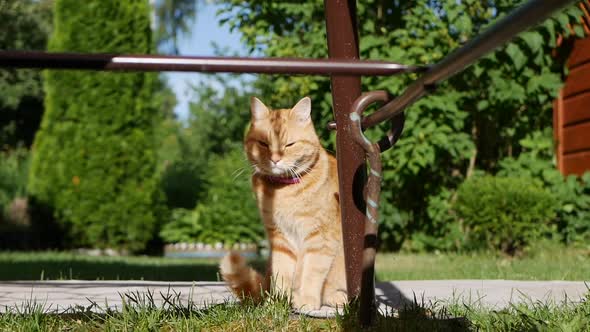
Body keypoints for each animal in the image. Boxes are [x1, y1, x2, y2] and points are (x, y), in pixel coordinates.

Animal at [221, 96, 350, 312]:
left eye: (289, 144)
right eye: (263, 143)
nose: (275, 159)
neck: (284, 191)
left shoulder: (320, 239)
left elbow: (312, 272)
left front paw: (306, 299)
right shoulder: (279, 238)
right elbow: (282, 272)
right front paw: (278, 301)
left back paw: (334, 298)